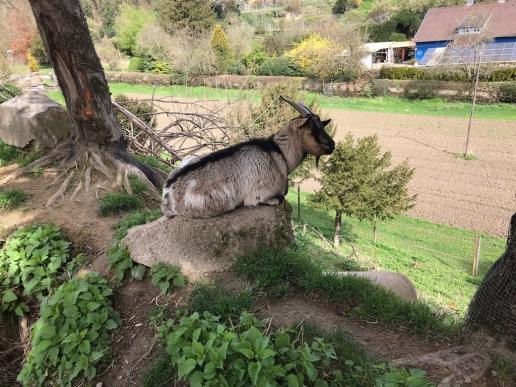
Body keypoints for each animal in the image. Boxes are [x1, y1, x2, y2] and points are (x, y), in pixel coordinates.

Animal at [163, 96, 336, 218]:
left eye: (321, 126)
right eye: (312, 129)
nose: (332, 145)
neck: (279, 153)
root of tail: (167, 194)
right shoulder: (262, 195)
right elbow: (279, 199)